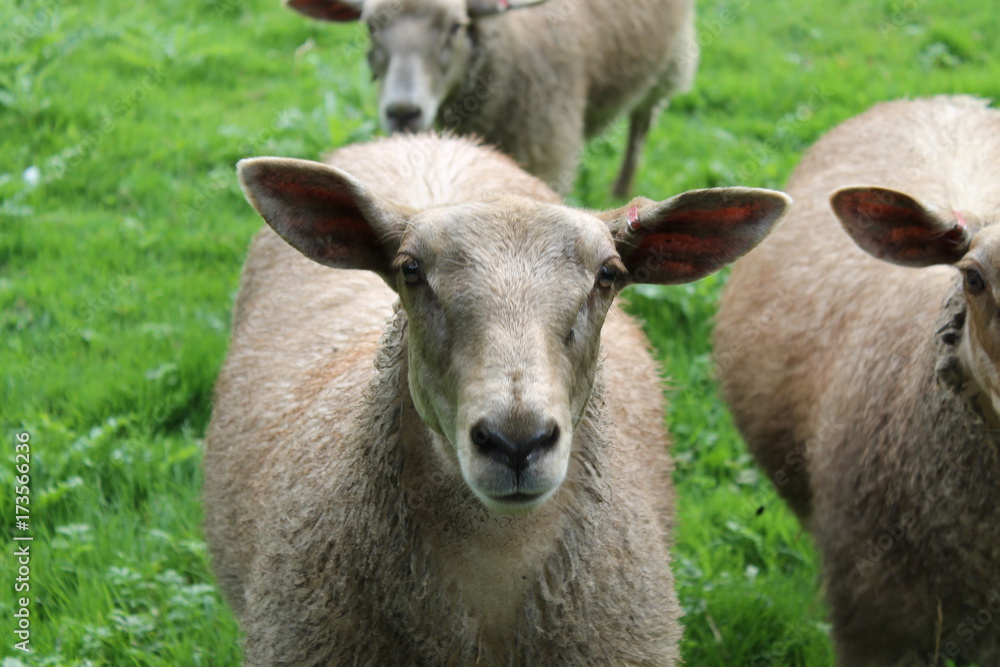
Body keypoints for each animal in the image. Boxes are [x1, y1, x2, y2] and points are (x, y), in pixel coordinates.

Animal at [284, 0, 698, 196]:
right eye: (370, 27)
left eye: (456, 27)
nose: (403, 112)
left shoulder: (548, 156)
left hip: (670, 59)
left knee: (642, 123)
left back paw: (620, 188)